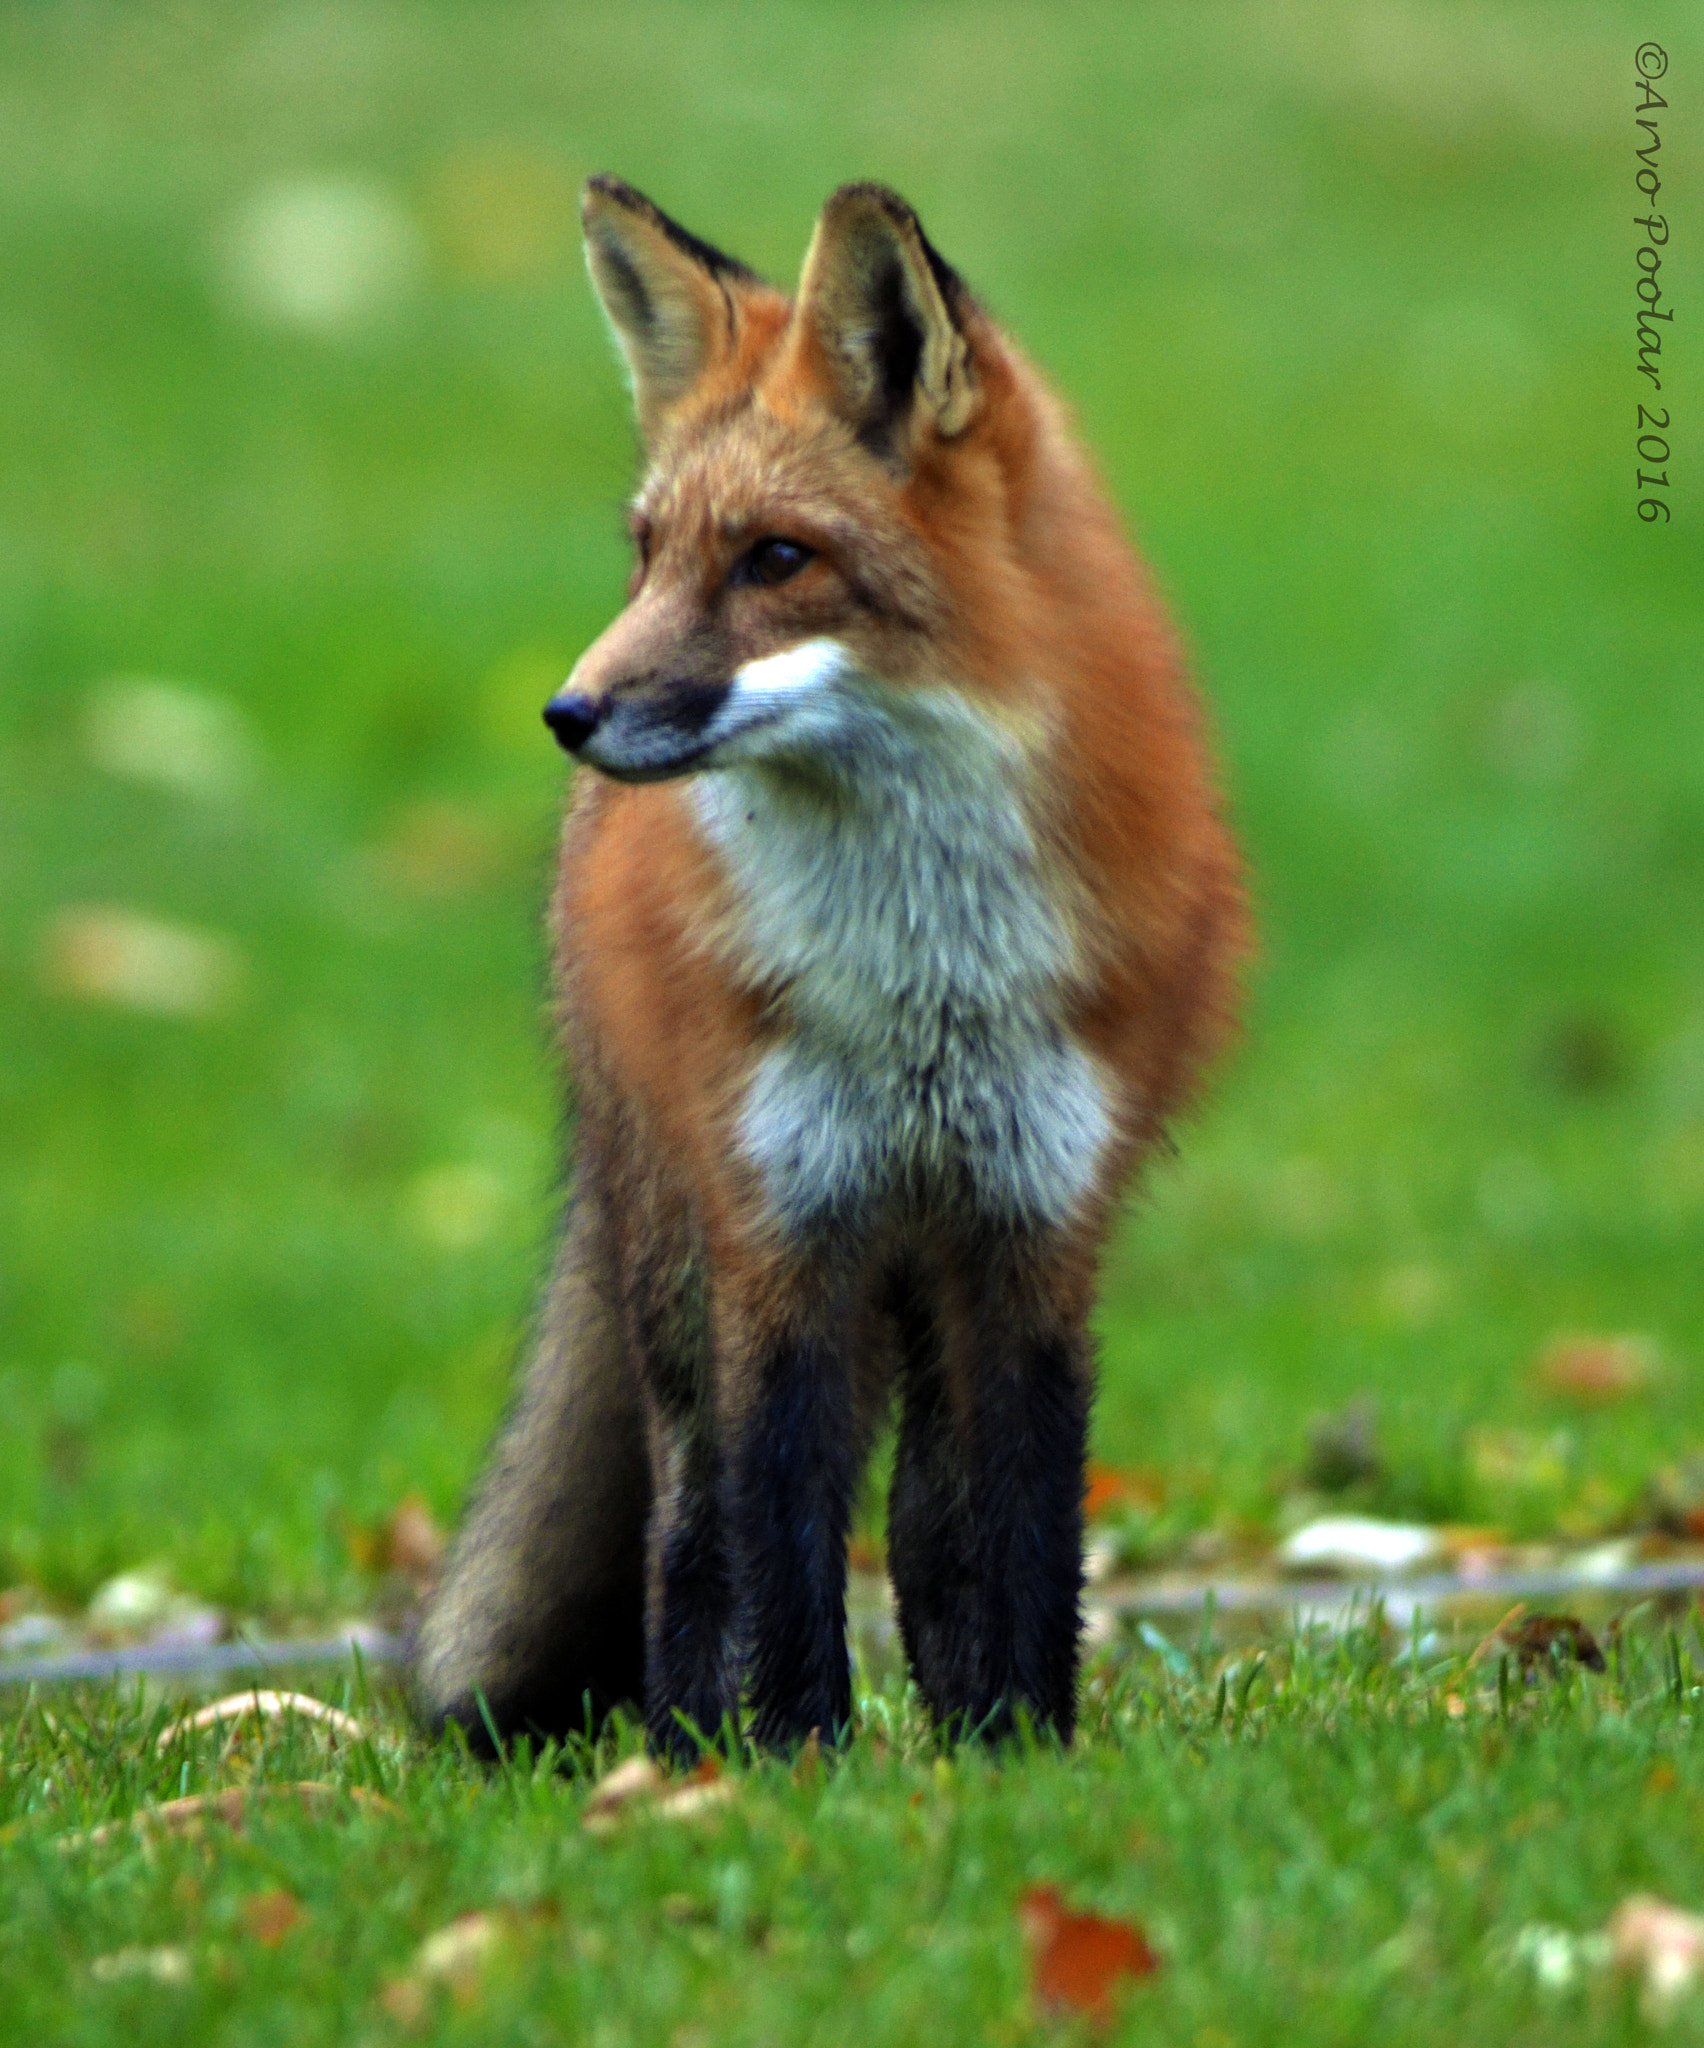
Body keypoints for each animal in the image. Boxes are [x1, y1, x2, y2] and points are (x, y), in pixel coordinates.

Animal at [413, 176, 1237, 1761]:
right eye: (649, 554)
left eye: (776, 560)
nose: (569, 711)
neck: (924, 978)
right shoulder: (781, 1228)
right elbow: (774, 1535)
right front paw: (797, 1761)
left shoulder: (1034, 1230)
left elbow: (1018, 1531)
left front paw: (1025, 1750)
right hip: (678, 1255)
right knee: (687, 1528)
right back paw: (684, 1751)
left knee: (921, 1520)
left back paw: (957, 1729)